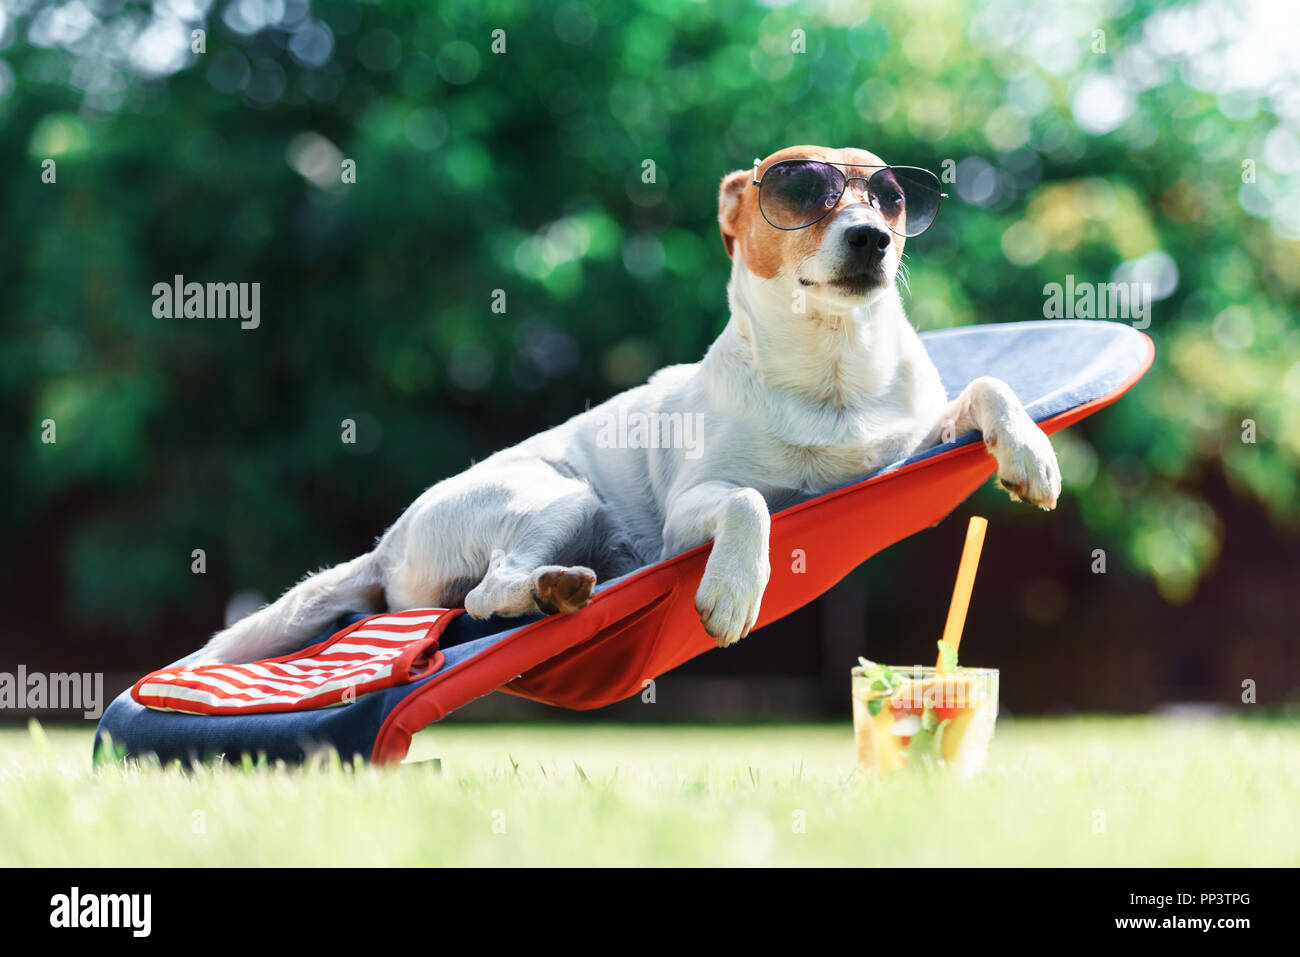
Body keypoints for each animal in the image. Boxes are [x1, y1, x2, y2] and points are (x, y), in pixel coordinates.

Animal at [200, 143, 1055, 665]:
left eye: (892, 198)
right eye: (801, 189)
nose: (872, 238)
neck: (832, 375)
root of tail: (386, 543)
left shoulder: (910, 442)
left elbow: (988, 387)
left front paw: (1030, 453)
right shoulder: (690, 512)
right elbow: (749, 500)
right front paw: (733, 589)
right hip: (558, 496)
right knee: (484, 593)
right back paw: (553, 588)